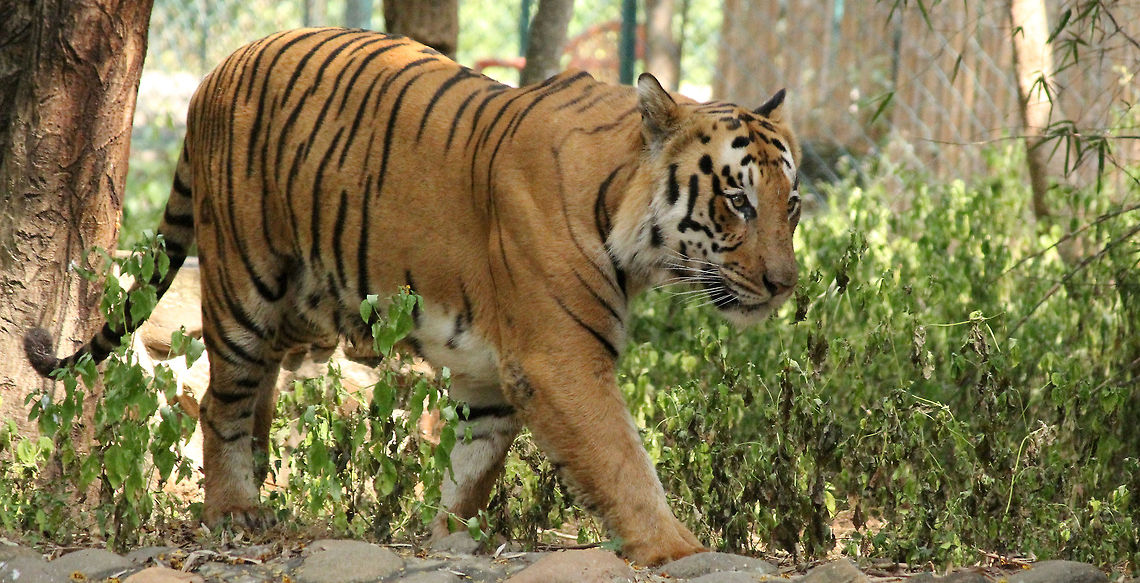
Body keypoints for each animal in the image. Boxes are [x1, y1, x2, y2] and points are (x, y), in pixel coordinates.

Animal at [25, 27, 801, 566]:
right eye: (737, 200)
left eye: (791, 205)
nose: (784, 285)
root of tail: (215, 71)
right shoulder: (560, 360)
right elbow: (623, 461)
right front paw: (678, 549)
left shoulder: (495, 371)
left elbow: (473, 463)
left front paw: (449, 540)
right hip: (247, 281)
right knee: (221, 398)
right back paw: (235, 510)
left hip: (307, 297)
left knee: (258, 383)